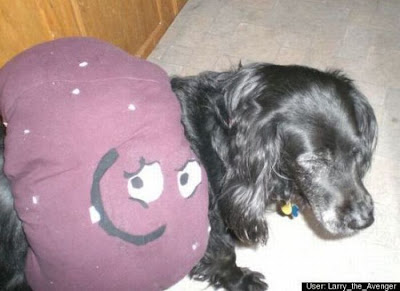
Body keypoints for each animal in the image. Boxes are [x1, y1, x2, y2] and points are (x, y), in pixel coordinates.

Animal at [0, 64, 376, 291]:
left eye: (356, 152)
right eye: (313, 160)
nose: (364, 220)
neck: (224, 137)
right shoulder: (200, 216)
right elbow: (223, 255)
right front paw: (240, 280)